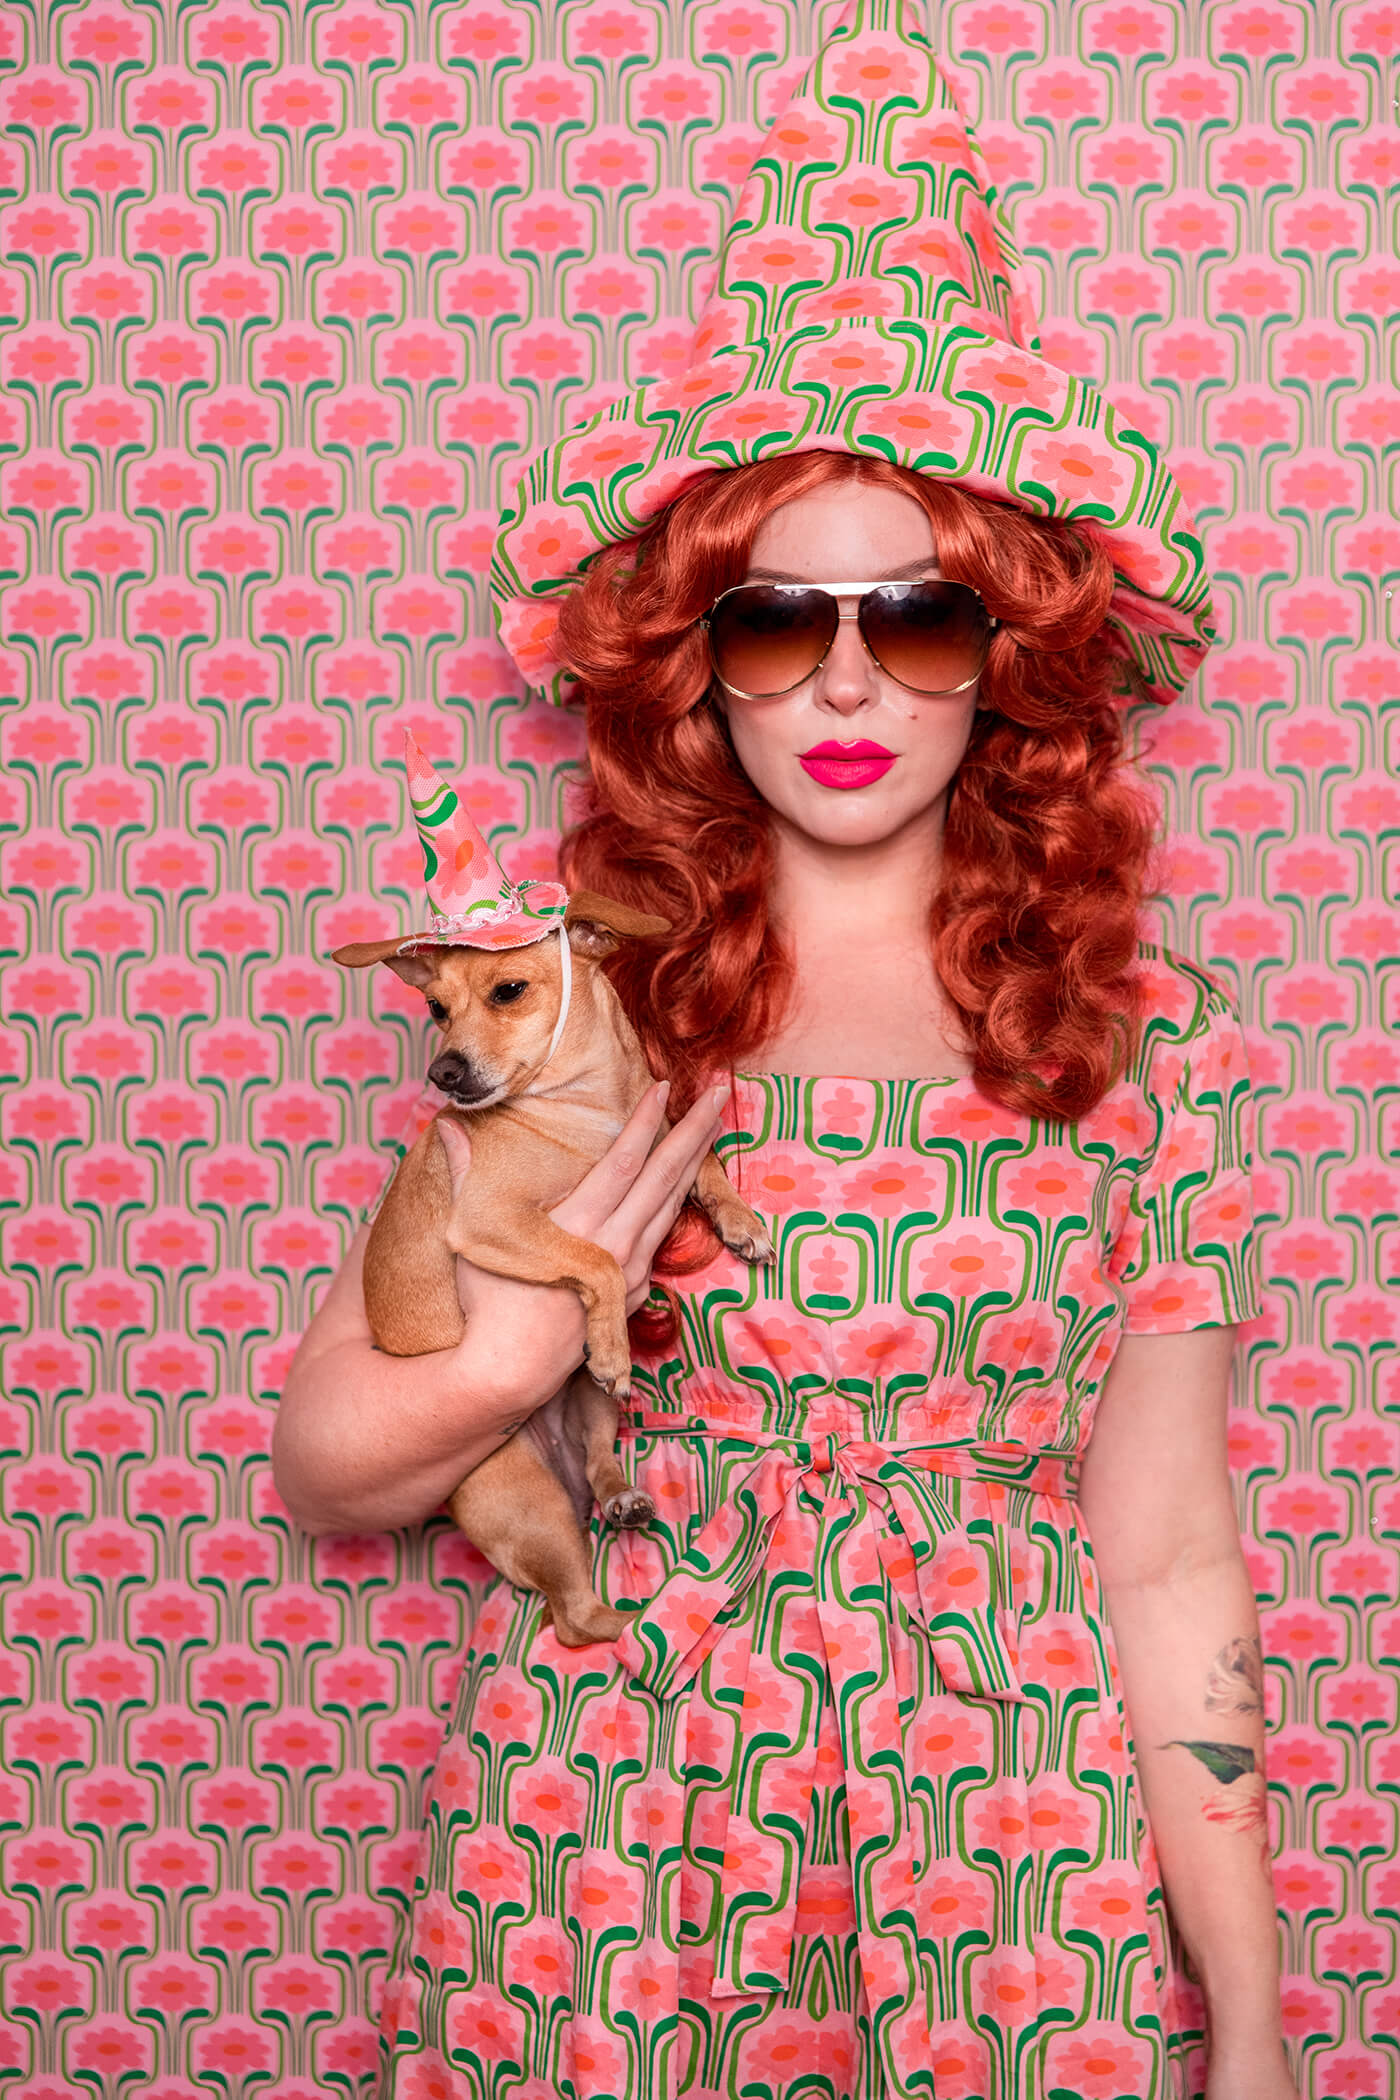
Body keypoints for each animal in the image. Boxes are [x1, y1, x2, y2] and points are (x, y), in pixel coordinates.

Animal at [333, 894, 772, 1646]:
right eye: (436, 1009)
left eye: (508, 991)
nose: (443, 1074)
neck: (588, 1111)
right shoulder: (494, 1221)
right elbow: (597, 1258)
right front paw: (613, 1339)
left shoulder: (661, 1138)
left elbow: (704, 1156)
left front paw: (739, 1220)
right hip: (528, 1501)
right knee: (574, 1619)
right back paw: (647, 1623)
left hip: (591, 1410)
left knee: (598, 1463)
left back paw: (620, 1498)